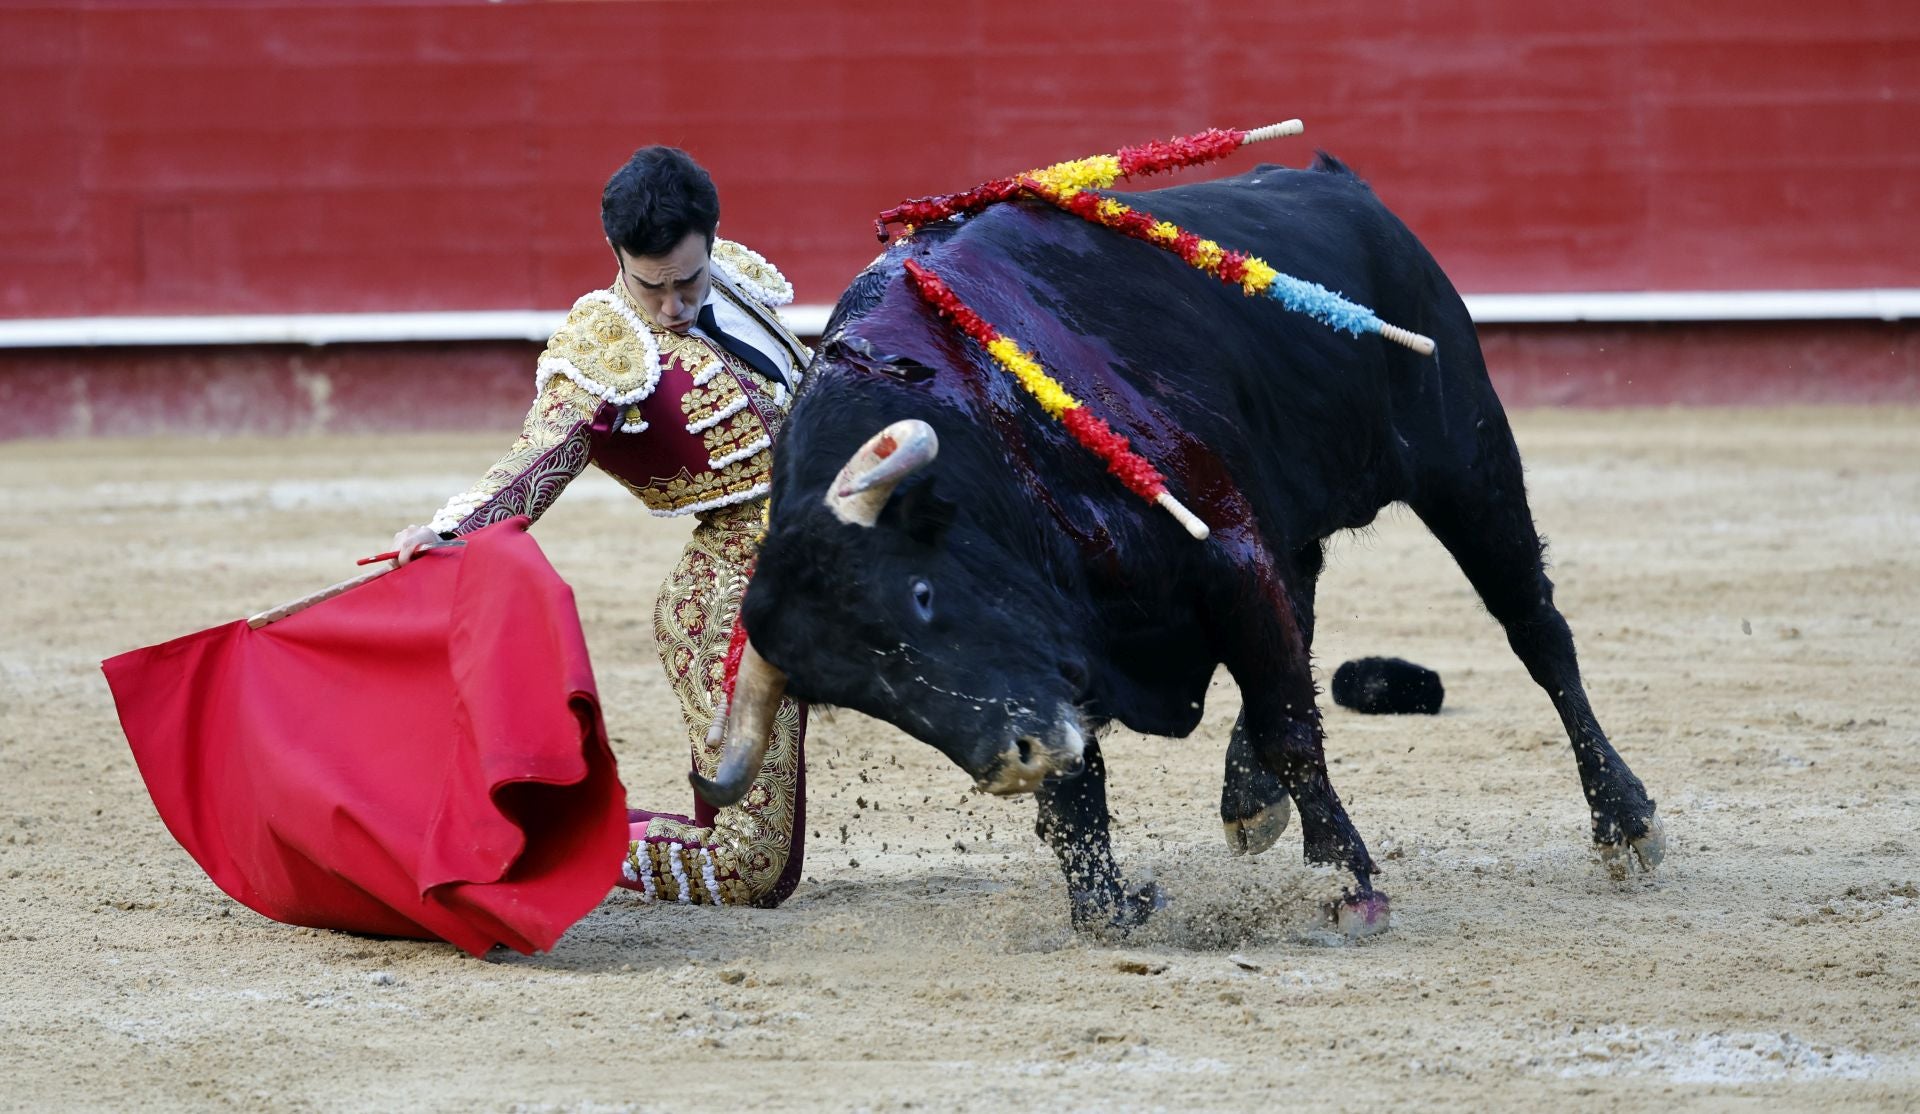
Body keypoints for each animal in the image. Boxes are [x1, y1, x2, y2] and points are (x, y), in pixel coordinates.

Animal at [698, 156, 1658, 929]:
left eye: (922, 595)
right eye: (861, 698)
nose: (1011, 762)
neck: (991, 435)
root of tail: (1342, 183)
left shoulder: (1224, 554)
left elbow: (1289, 728)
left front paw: (1346, 886)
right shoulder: (1072, 651)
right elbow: (1081, 790)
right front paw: (1109, 906)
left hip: (1467, 457)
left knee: (1535, 630)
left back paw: (1625, 821)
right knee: (1304, 618)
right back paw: (1248, 800)